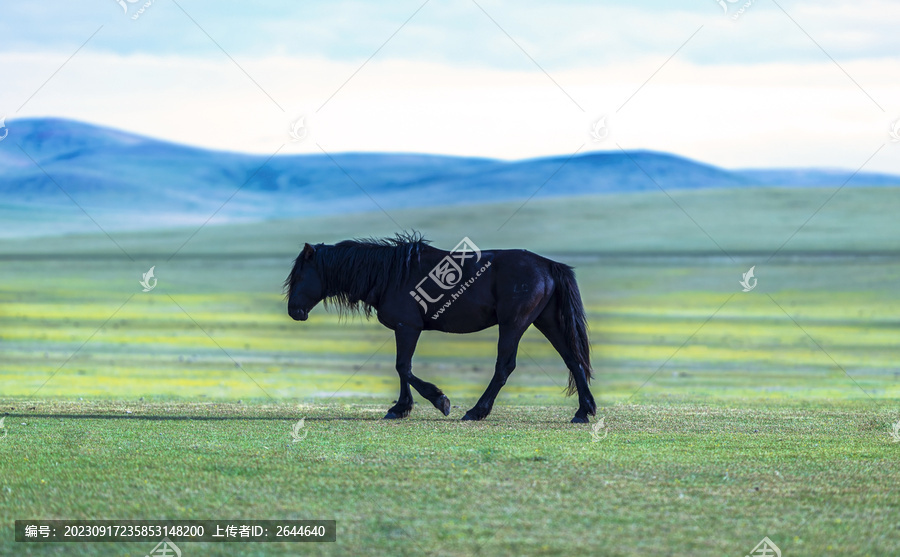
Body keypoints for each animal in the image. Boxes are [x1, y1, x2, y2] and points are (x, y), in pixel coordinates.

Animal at [284, 233, 596, 422]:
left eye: (299, 275)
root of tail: (548, 265)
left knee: (504, 367)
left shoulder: (407, 327)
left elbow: (403, 367)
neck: (390, 276)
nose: (293, 312)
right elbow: (403, 368)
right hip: (547, 321)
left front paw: (438, 401)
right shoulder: (404, 329)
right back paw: (584, 411)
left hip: (513, 324)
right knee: (573, 360)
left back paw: (476, 411)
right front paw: (402, 408)